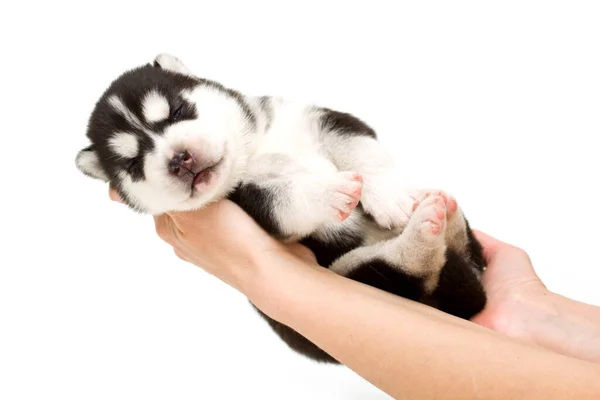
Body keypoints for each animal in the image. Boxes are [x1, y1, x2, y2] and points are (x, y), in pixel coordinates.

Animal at [75, 54, 488, 364]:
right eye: (133, 163)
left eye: (177, 111)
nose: (179, 159)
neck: (258, 147)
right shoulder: (253, 203)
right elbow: (289, 198)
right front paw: (330, 192)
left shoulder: (324, 119)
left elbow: (362, 150)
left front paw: (390, 195)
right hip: (356, 275)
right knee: (407, 268)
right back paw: (428, 230)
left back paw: (447, 214)